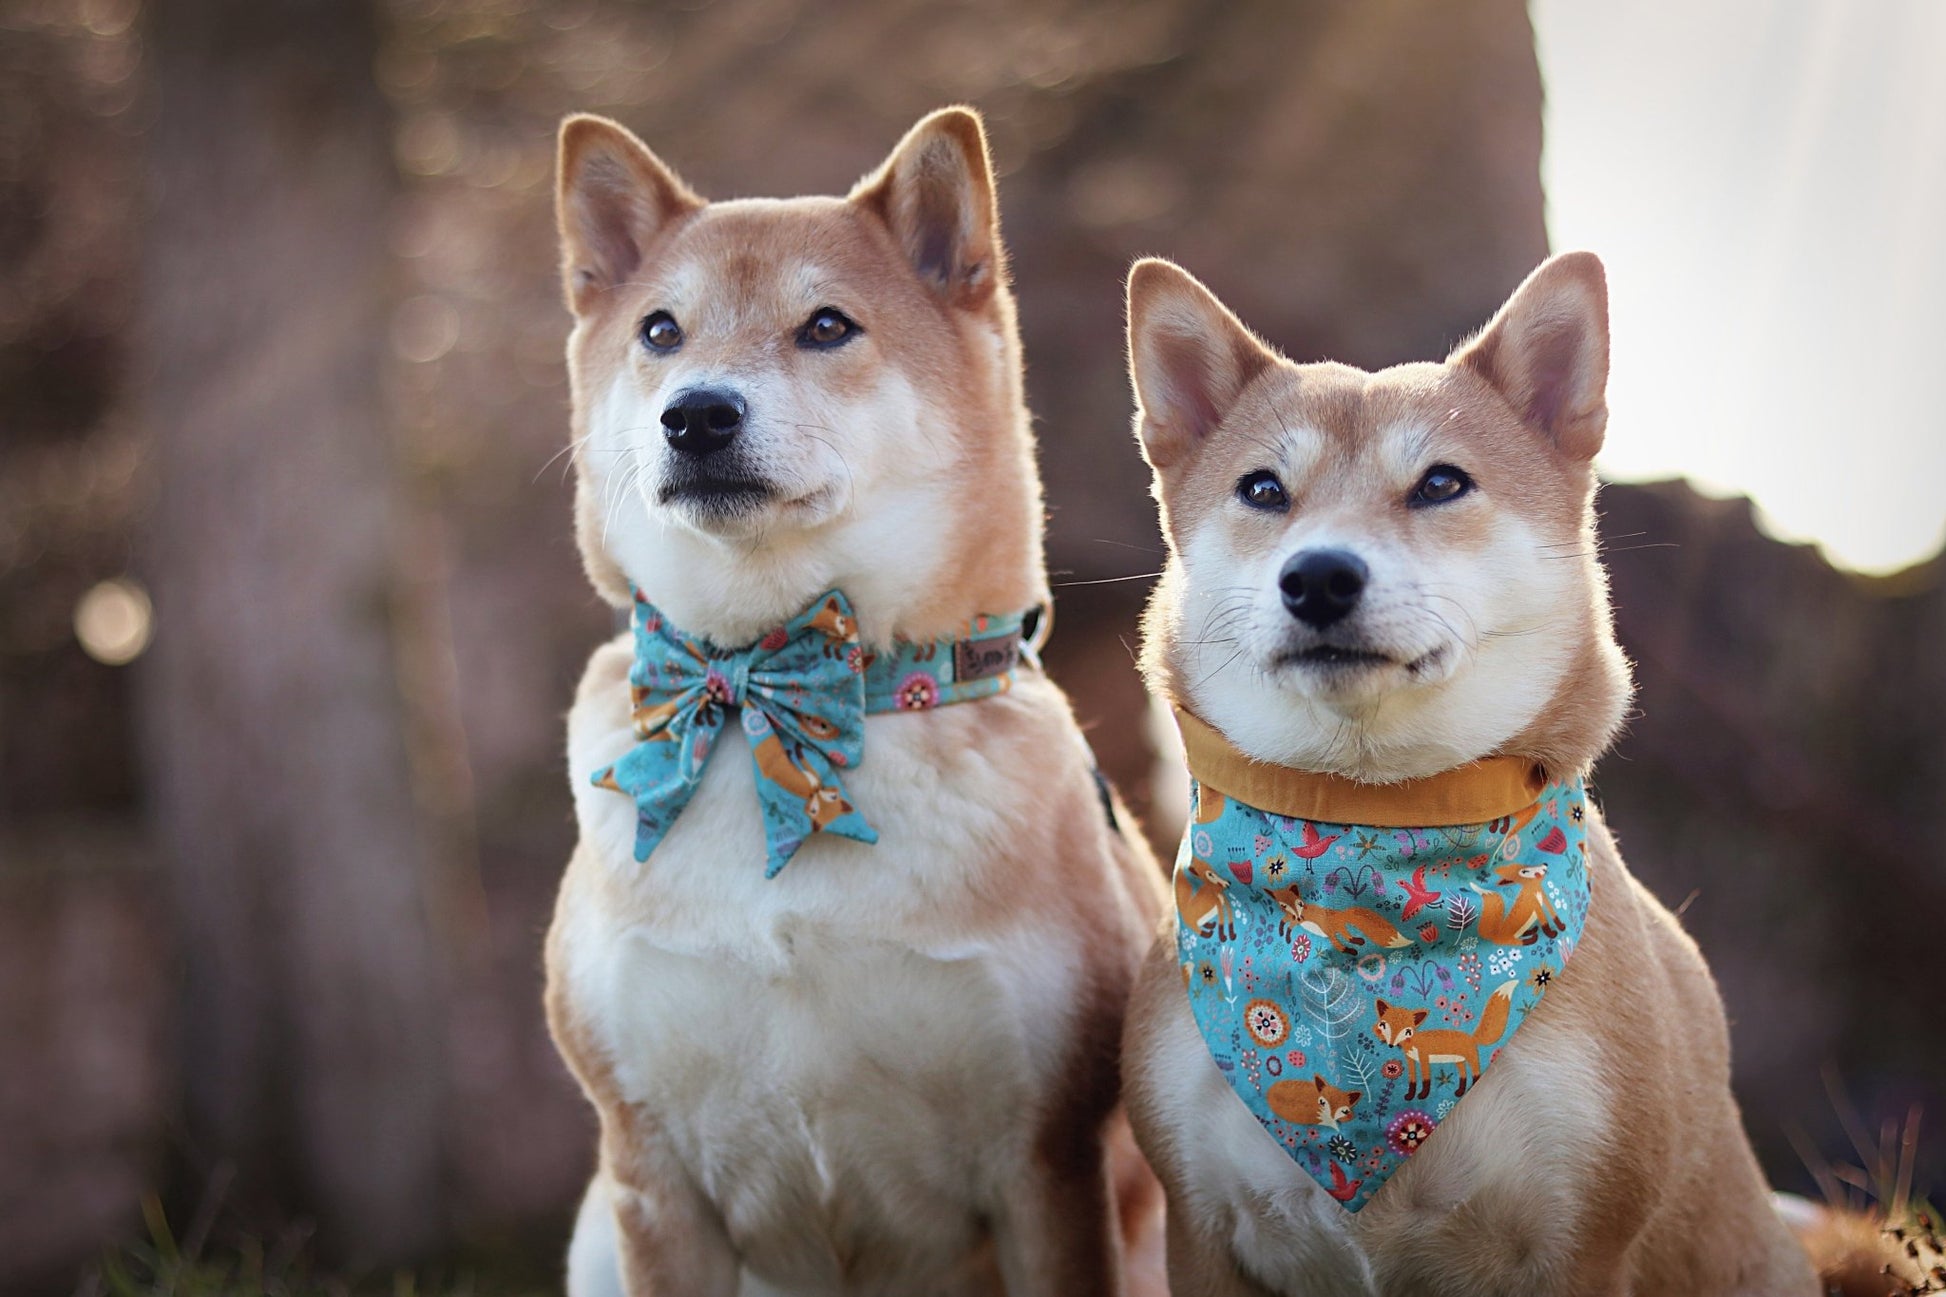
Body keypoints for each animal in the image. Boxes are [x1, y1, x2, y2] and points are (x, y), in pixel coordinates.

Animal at [1372, 980, 1516, 1100]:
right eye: (1384, 1025)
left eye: (1407, 1031)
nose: (1391, 1045)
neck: (1412, 1042)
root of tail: (1471, 1037)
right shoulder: (1410, 1060)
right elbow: (1412, 1081)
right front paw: (1410, 1096)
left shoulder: (1424, 1058)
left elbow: (1426, 1080)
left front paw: (1423, 1095)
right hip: (1459, 1061)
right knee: (1463, 1076)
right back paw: (1459, 1091)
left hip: (1472, 1059)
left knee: (1475, 1074)